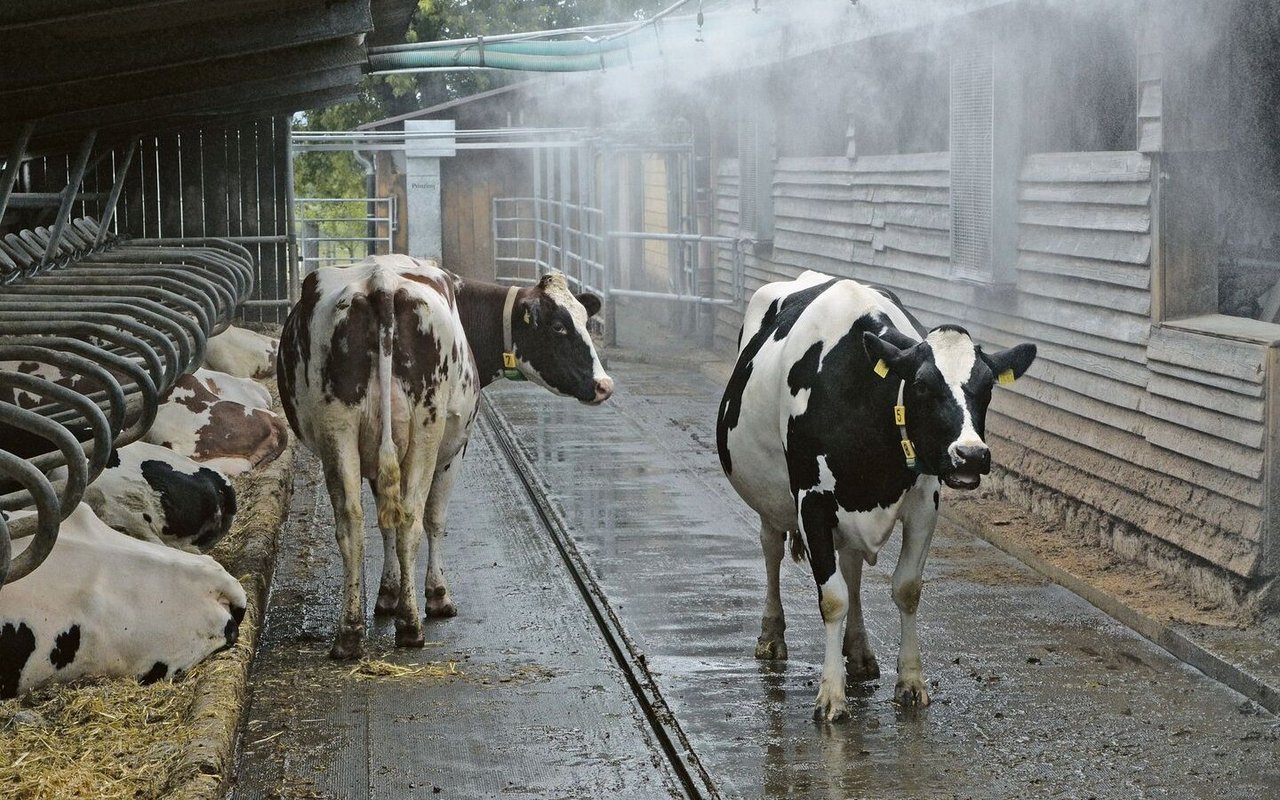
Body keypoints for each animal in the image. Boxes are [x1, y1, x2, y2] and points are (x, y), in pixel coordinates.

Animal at [716, 271, 1034, 721]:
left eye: (987, 386)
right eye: (920, 385)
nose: (971, 455)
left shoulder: (924, 503)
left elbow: (905, 589)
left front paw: (911, 682)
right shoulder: (811, 502)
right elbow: (832, 598)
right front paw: (831, 695)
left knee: (851, 569)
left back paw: (860, 652)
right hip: (771, 498)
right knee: (772, 550)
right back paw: (772, 635)